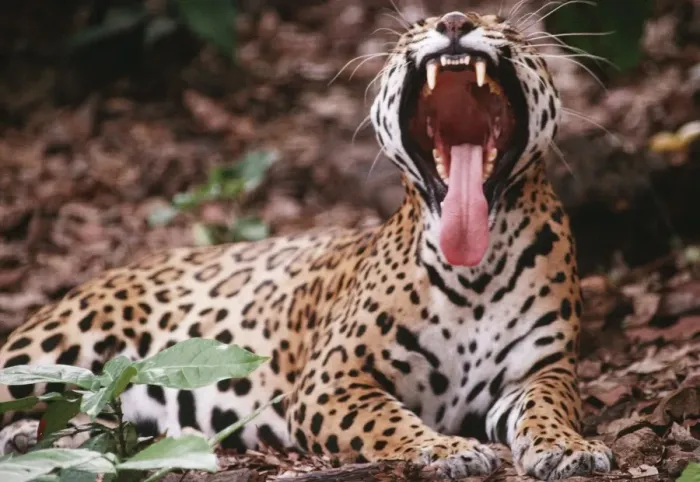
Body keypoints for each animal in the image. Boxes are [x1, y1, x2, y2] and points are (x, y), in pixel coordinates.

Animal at [0, 10, 613, 480]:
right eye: (417, 27)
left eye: (503, 23)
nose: (456, 21)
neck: (474, 273)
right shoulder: (333, 378)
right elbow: (387, 421)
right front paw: (446, 448)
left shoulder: (543, 369)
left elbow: (550, 406)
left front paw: (569, 446)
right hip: (53, 346)